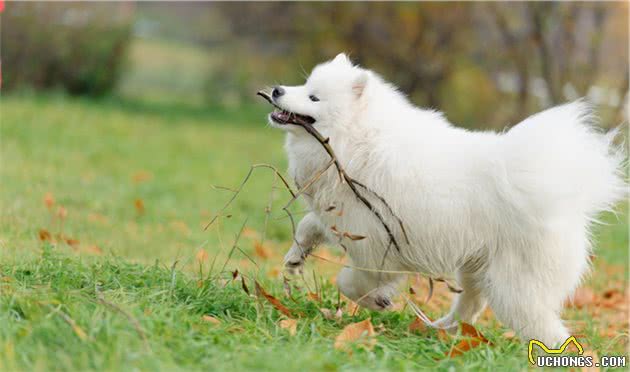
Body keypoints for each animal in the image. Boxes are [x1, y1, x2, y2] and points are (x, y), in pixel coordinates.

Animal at [266, 53, 628, 344]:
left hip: (514, 288)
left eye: (313, 97)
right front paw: (295, 258)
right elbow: (308, 226)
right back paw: (441, 330)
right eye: (303, 84)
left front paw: (376, 300)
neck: (358, 141)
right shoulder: (341, 216)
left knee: (542, 326)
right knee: (470, 306)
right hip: (477, 268)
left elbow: (350, 281)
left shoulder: (377, 246)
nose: (277, 90)